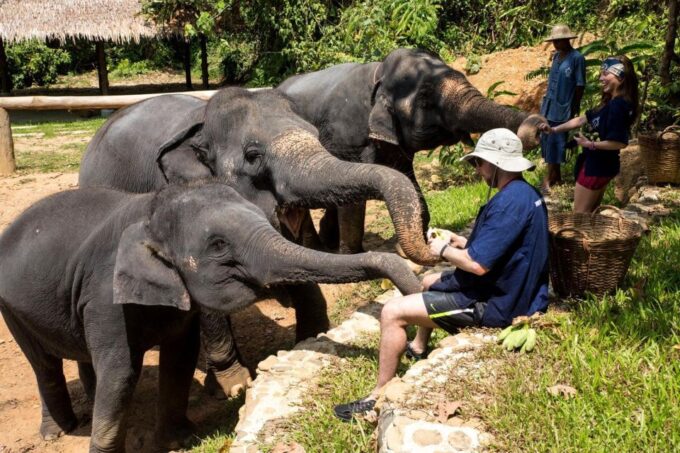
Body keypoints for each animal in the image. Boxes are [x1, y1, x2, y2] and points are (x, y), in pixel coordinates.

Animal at [0, 182, 421, 452]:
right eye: (219, 246)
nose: (416, 350)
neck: (149, 209)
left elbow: (179, 358)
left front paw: (179, 441)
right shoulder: (104, 296)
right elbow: (120, 373)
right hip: (11, 310)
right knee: (44, 365)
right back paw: (58, 433)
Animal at [78, 87, 437, 398]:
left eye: (316, 135)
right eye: (253, 155)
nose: (430, 245)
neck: (201, 122)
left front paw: (314, 337)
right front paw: (234, 385)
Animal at [278, 47, 545, 253]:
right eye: (426, 98)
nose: (540, 127)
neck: (377, 76)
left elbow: (407, 179)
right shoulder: (346, 138)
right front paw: (354, 255)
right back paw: (313, 248)